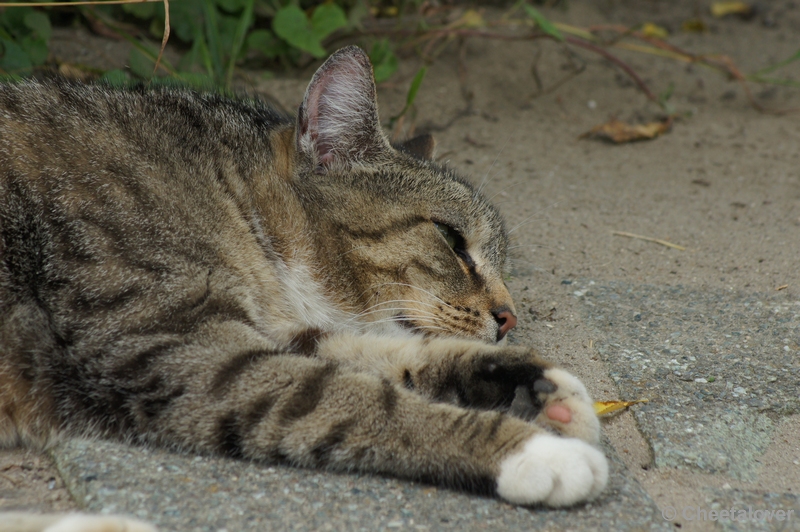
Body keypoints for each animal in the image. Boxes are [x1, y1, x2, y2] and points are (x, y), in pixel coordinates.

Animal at [0, 46, 608, 532]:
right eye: (453, 240)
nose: (509, 318)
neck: (225, 191)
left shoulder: (277, 329)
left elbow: (382, 354)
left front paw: (536, 384)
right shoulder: (182, 348)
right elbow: (359, 398)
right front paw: (532, 450)